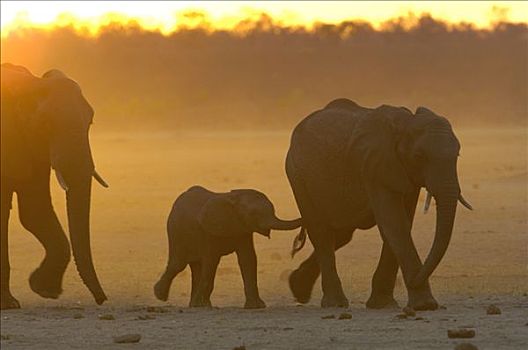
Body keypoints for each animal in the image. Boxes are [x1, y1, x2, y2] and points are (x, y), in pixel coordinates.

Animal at [0, 63, 108, 308]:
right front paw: (10, 304)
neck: (28, 84)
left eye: (90, 122)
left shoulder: (32, 147)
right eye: (45, 125)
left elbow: (35, 213)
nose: (102, 299)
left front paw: (43, 289)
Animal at [153, 186, 302, 308]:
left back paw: (195, 304)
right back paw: (161, 296)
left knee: (196, 266)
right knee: (178, 264)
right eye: (253, 214)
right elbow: (211, 261)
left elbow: (248, 259)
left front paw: (256, 306)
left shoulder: (243, 229)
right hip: (175, 230)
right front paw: (202, 305)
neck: (234, 200)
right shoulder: (209, 230)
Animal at [286, 98, 472, 308]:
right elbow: (394, 223)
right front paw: (425, 305)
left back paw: (298, 289)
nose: (415, 279)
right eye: (419, 157)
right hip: (297, 175)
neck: (406, 123)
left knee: (341, 234)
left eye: (457, 155)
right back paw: (334, 303)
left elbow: (401, 222)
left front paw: (383, 304)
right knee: (321, 232)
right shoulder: (374, 167)